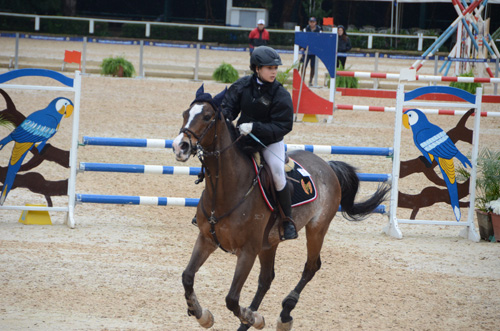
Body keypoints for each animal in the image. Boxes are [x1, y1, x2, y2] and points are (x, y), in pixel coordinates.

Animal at [173, 86, 390, 331]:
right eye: (185, 114)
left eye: (208, 117)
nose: (180, 146)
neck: (227, 190)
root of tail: (327, 165)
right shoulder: (206, 239)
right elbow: (187, 277)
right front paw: (201, 314)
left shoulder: (248, 250)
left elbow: (232, 298)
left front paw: (252, 317)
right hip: (270, 243)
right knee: (266, 279)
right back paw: (250, 321)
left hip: (316, 229)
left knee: (311, 267)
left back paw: (285, 313)